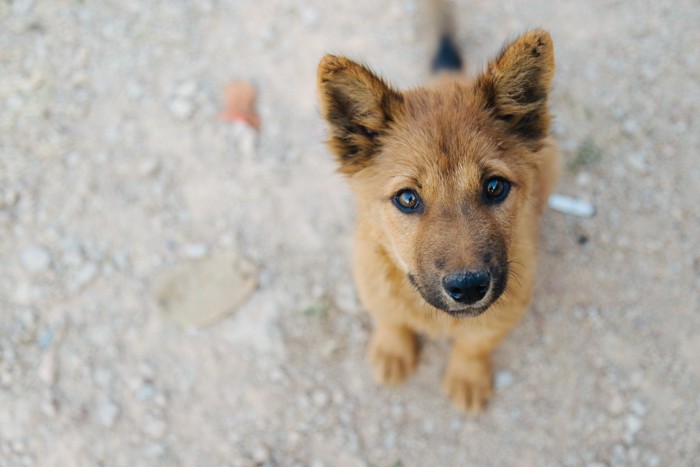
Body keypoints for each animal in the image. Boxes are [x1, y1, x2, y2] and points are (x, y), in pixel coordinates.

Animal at [318, 13, 556, 414]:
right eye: (407, 198)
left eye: (495, 187)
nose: (469, 288)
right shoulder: (371, 279)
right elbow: (390, 319)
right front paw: (392, 351)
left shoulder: (506, 311)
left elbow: (475, 344)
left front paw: (467, 376)